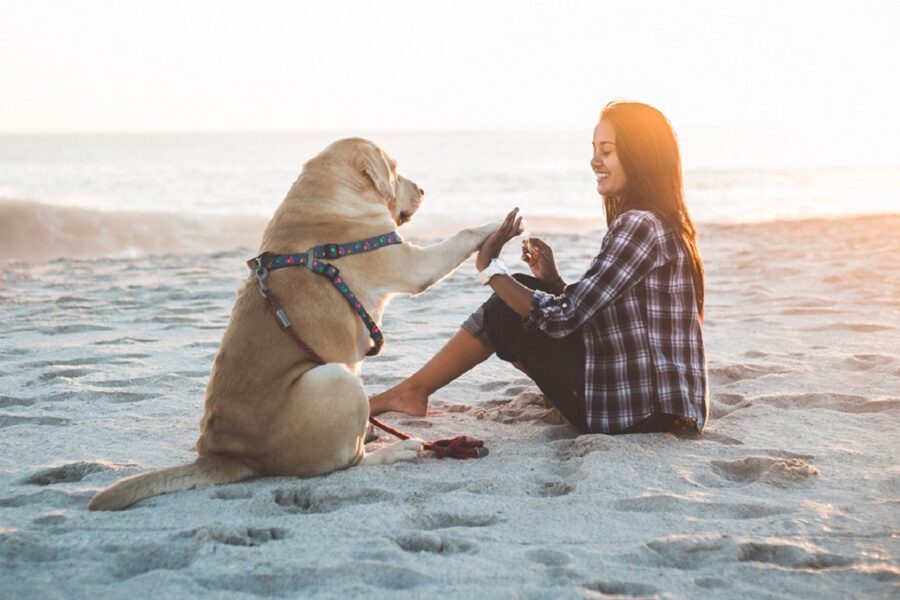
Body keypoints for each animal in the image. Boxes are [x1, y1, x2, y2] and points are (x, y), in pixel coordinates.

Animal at [89, 138, 500, 508]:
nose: (423, 190)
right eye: (395, 170)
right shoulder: (413, 264)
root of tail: (228, 455)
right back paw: (396, 450)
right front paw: (496, 222)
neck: (326, 195)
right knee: (349, 463)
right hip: (339, 379)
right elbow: (463, 234)